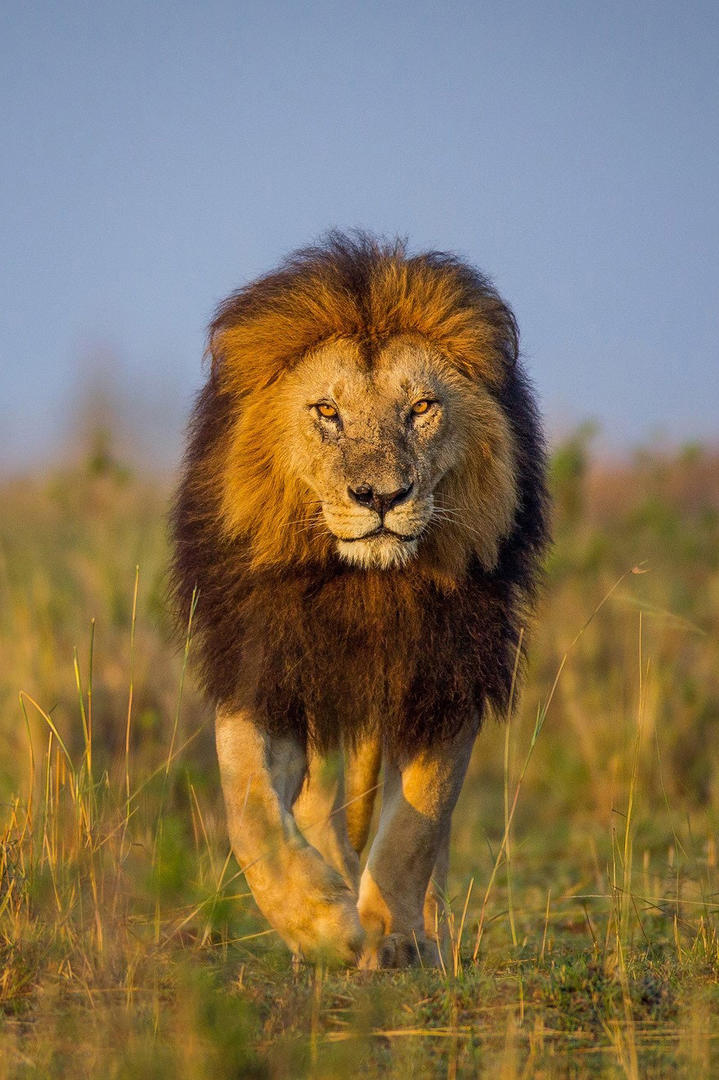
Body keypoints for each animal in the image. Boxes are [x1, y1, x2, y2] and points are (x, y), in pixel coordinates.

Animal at [169, 232, 548, 967]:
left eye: (421, 407)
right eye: (327, 411)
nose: (381, 497)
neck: (366, 586)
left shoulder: (445, 675)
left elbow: (417, 826)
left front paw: (393, 936)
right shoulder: (265, 670)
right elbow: (250, 809)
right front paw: (320, 923)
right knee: (316, 806)